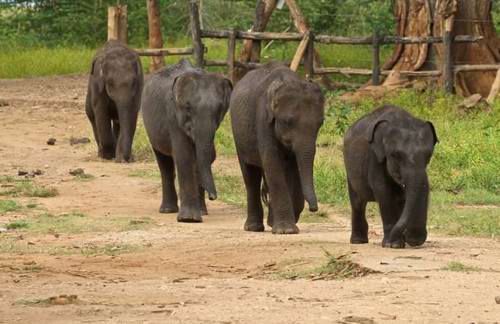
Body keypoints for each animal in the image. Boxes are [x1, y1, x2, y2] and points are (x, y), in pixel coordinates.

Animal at [141, 58, 232, 223]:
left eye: (219, 109)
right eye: (188, 107)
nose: (213, 197)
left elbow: (203, 157)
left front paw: (198, 214)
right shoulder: (173, 116)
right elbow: (185, 156)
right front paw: (189, 219)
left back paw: (201, 211)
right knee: (164, 163)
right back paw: (167, 211)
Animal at [229, 62, 324, 234]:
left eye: (321, 123)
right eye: (287, 121)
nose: (314, 209)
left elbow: (294, 167)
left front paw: (284, 224)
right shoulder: (262, 120)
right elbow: (272, 163)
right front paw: (286, 230)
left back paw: (270, 222)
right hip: (238, 136)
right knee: (250, 176)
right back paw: (253, 227)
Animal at [344, 105, 438, 248]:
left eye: (428, 156)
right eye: (396, 155)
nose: (414, 240)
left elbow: (422, 189)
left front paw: (408, 241)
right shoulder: (375, 158)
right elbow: (384, 192)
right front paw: (393, 244)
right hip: (349, 169)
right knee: (357, 203)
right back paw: (358, 241)